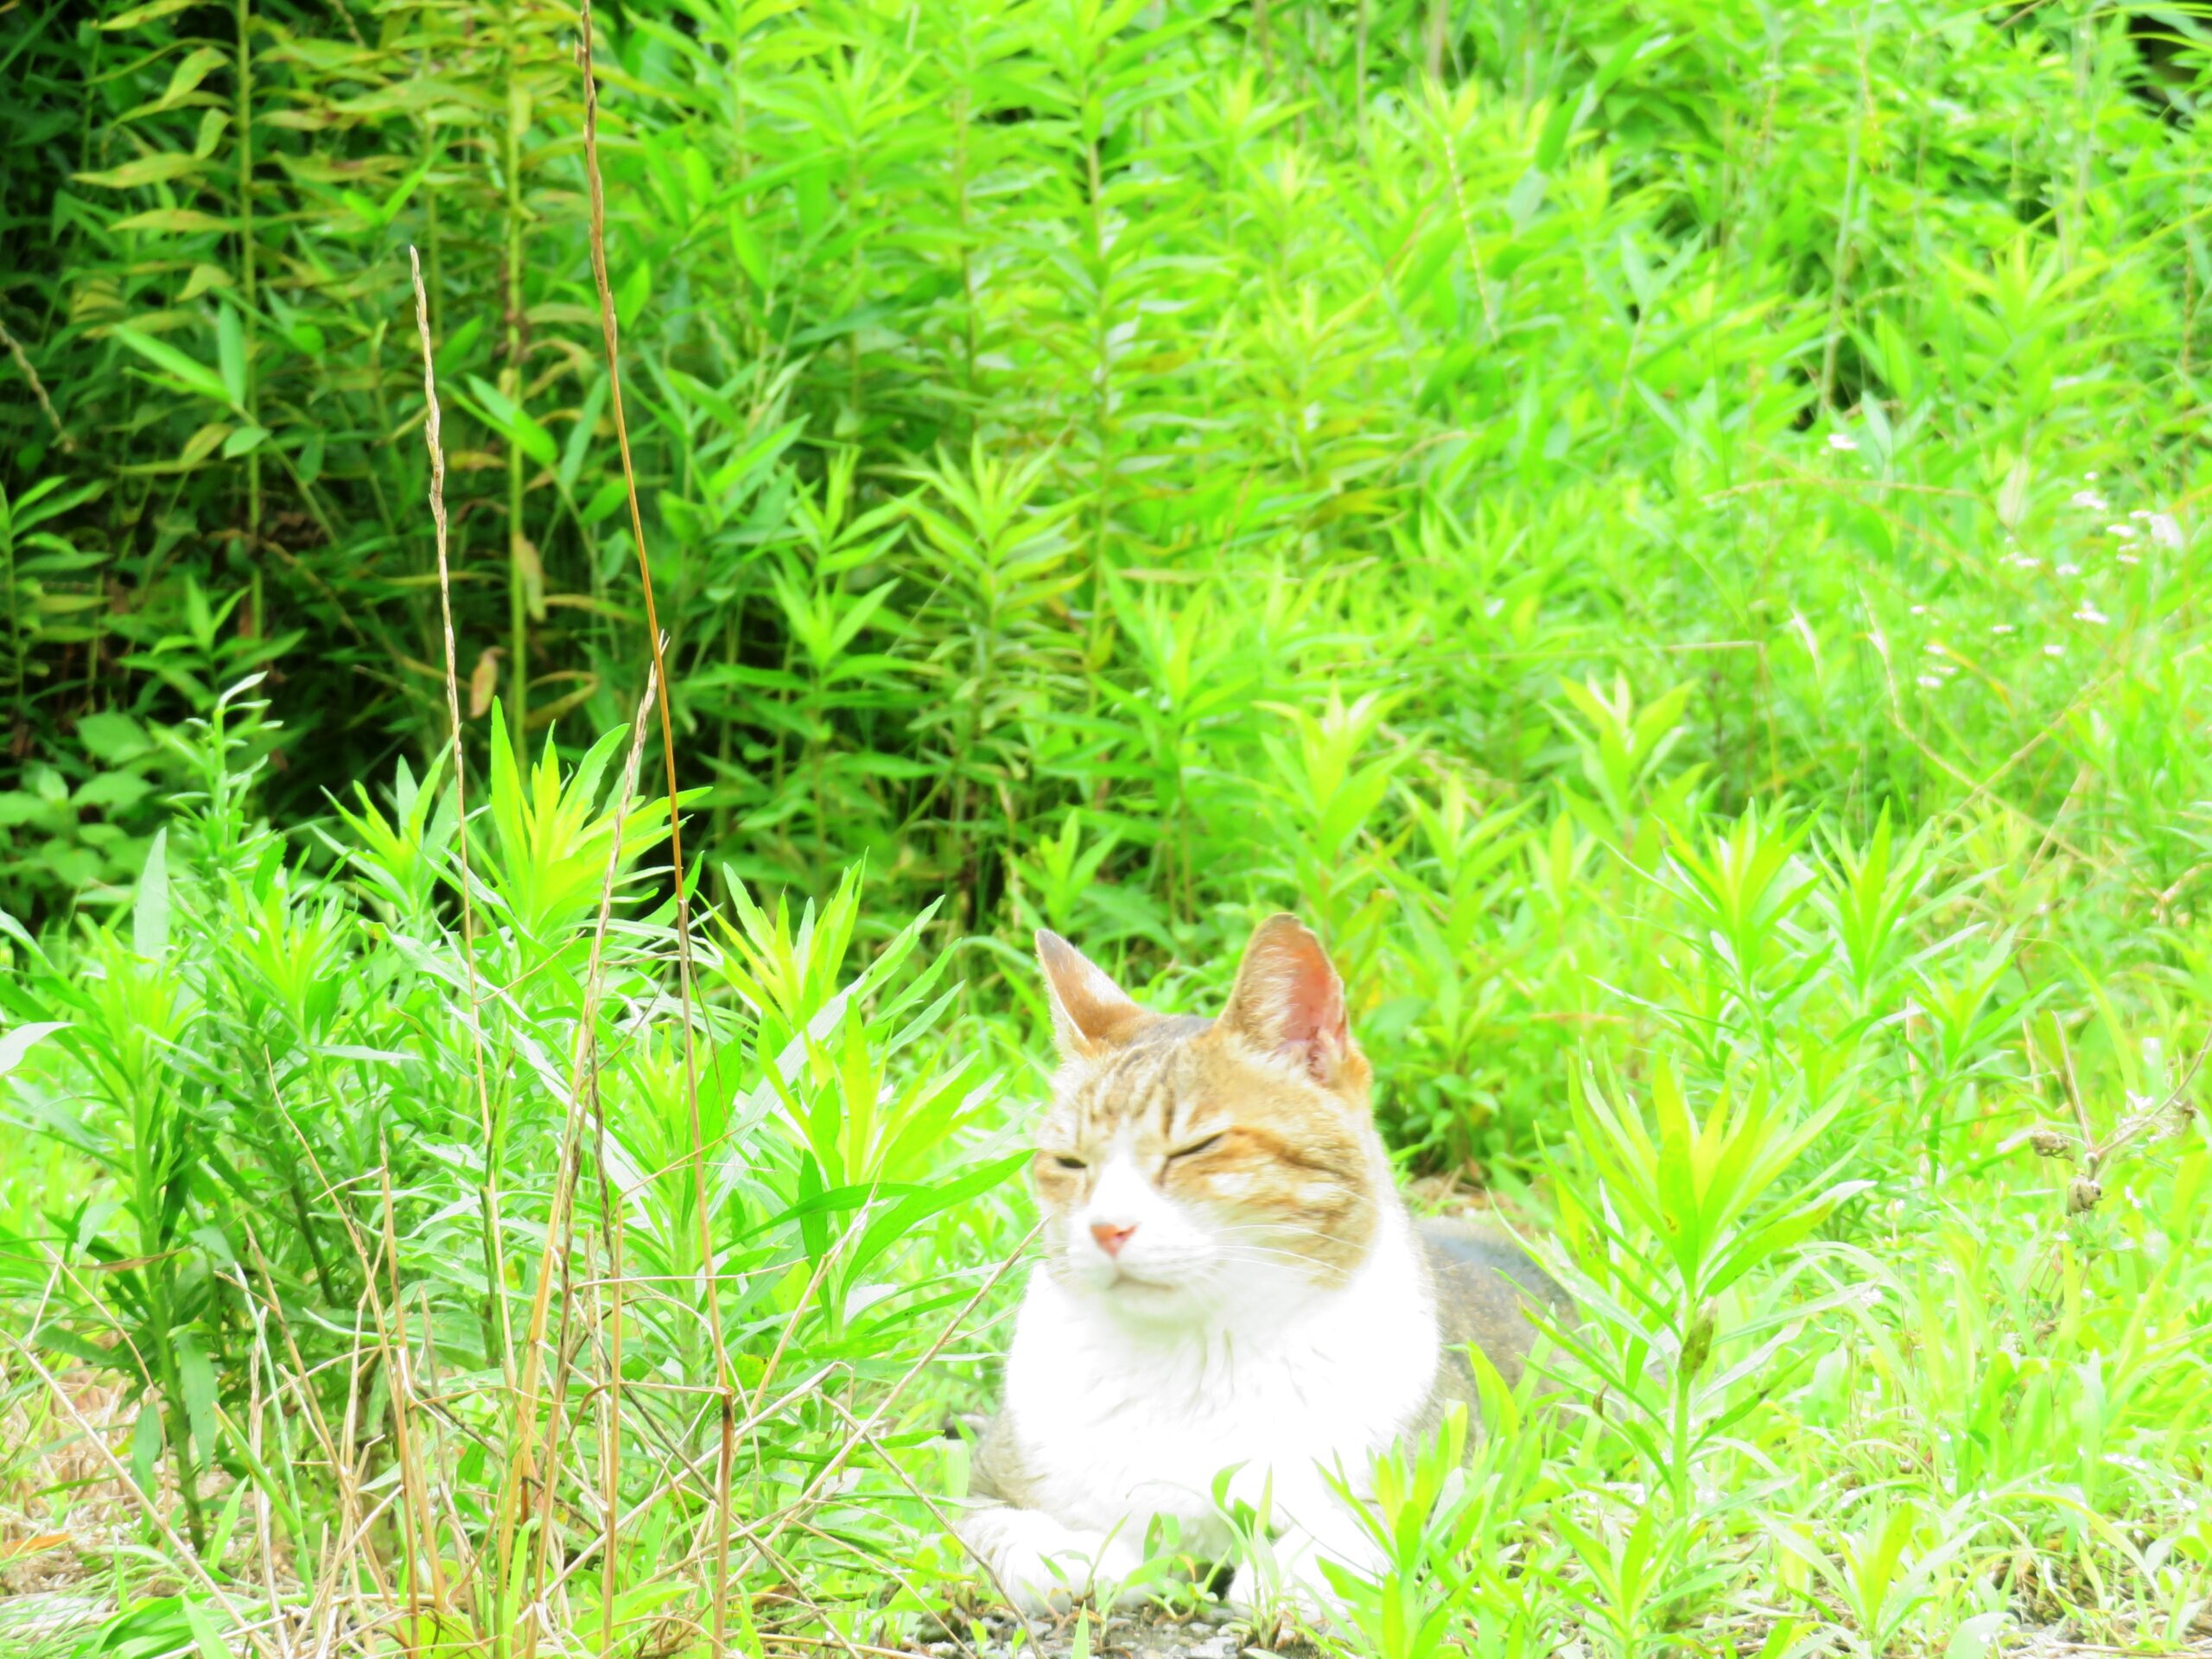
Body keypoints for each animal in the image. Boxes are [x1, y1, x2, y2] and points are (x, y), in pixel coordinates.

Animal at [955, 915, 1574, 1618]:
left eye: (1195, 1146)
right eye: (1068, 1161)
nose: (1106, 1227)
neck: (1197, 1354)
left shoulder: (1458, 1474)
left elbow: (1373, 1520)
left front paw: (1294, 1570)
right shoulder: (984, 1485)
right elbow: (1001, 1532)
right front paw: (1078, 1552)